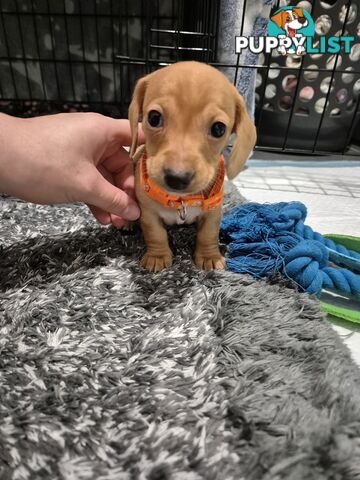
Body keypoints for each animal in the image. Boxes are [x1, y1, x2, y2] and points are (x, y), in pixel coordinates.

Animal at [129, 62, 256, 274]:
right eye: (154, 118)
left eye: (219, 129)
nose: (176, 177)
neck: (180, 200)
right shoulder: (148, 213)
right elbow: (155, 233)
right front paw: (157, 256)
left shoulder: (213, 212)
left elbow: (208, 234)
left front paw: (209, 256)